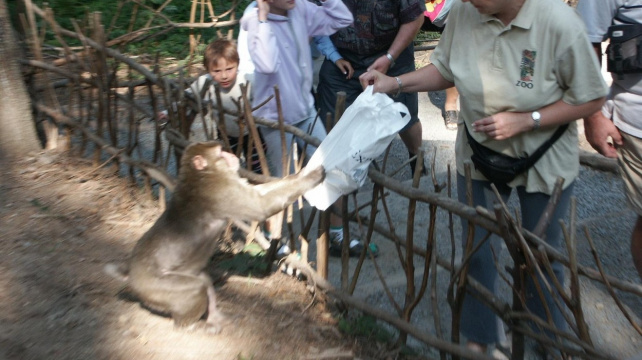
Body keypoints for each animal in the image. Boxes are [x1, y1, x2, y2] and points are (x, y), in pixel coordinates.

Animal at [106, 142, 324, 334]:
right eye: (220, 152)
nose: (232, 155)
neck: (200, 174)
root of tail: (131, 273)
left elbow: (260, 192)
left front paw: (301, 173)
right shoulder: (220, 189)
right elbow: (261, 205)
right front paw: (313, 177)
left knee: (204, 281)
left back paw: (215, 317)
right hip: (153, 285)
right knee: (196, 288)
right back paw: (189, 325)